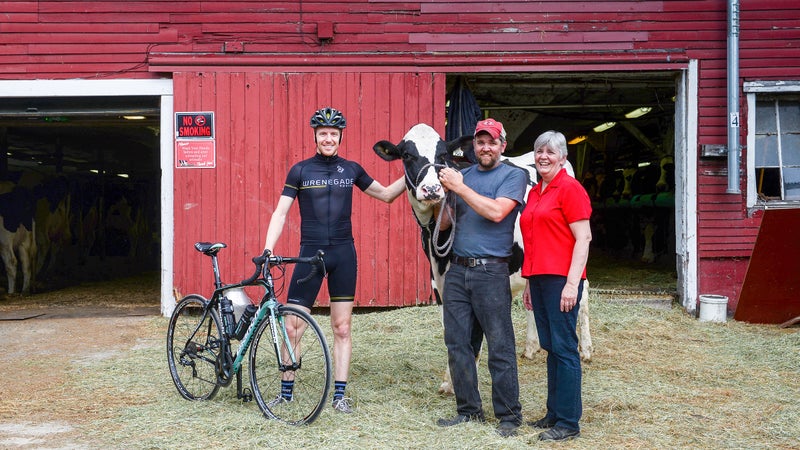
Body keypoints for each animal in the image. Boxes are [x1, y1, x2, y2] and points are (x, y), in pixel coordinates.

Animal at [372, 124, 592, 394]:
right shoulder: (438, 284)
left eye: (443, 154)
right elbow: (450, 331)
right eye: (406, 155)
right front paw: (449, 381)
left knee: (583, 295)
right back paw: (531, 347)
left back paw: (586, 350)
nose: (432, 189)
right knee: (531, 297)